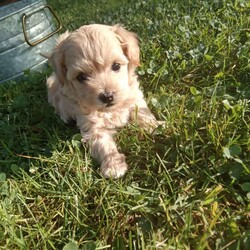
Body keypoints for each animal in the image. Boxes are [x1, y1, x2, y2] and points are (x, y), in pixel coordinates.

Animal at [46, 24, 159, 179]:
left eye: (116, 66)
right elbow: (104, 145)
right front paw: (114, 166)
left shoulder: (133, 96)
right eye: (81, 76)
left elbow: (143, 113)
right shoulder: (93, 127)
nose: (107, 96)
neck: (110, 110)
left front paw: (155, 127)